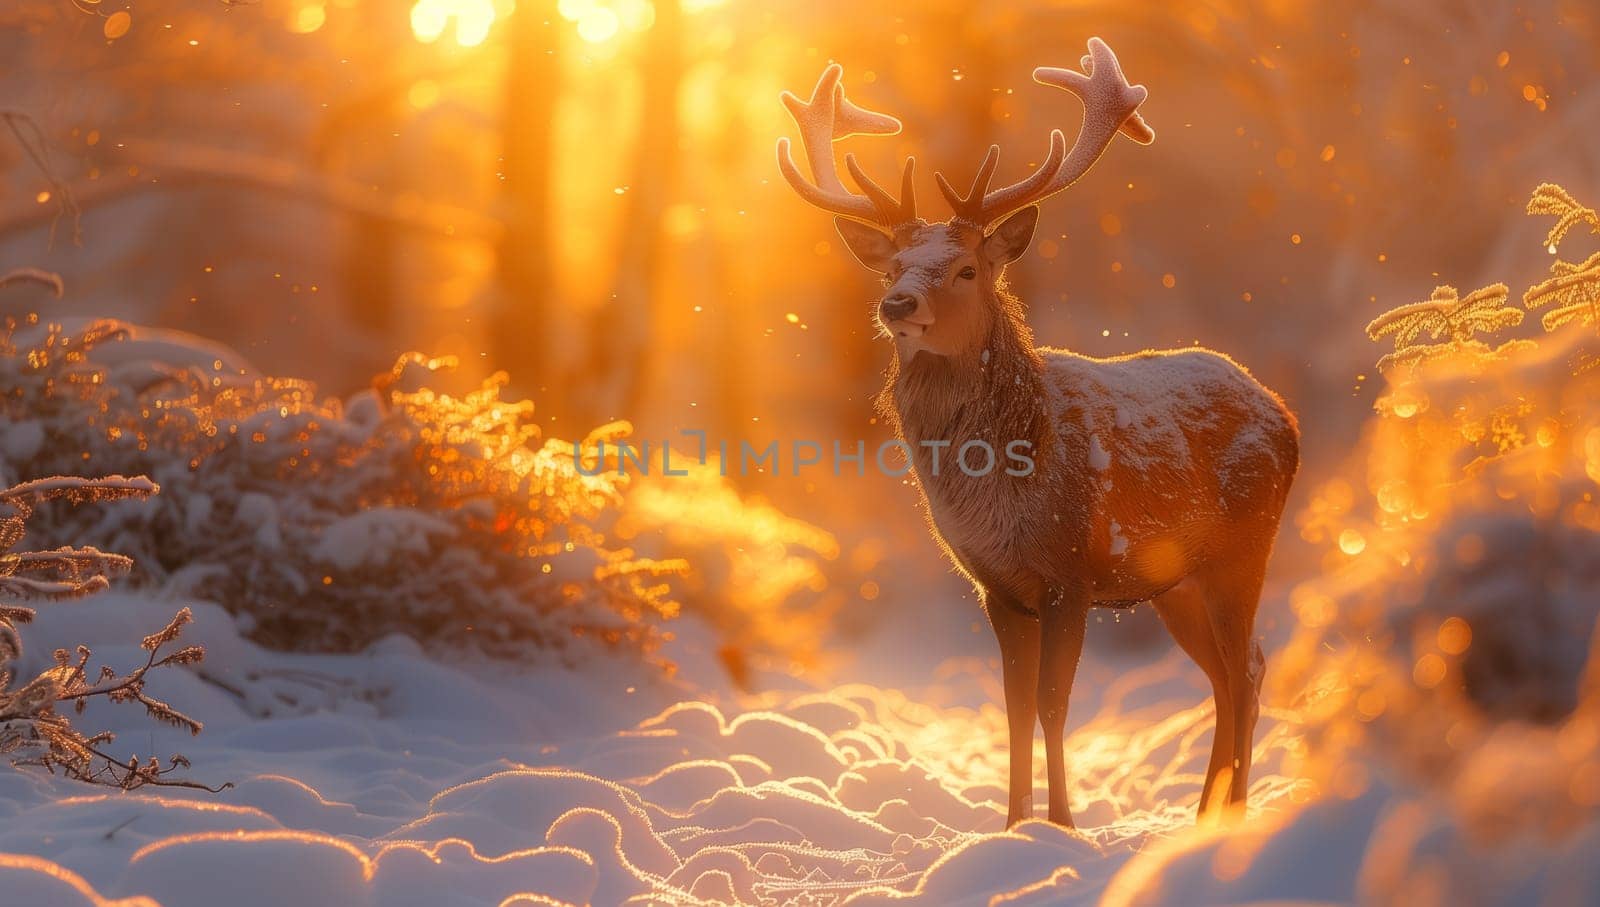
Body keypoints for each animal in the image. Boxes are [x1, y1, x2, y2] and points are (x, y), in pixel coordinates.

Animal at [774, 37, 1299, 831]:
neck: (1013, 487)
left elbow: (1054, 705)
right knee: (1234, 671)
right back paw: (1205, 813)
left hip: (1244, 549)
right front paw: (1013, 824)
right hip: (1175, 580)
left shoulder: (1071, 572)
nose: (897, 304)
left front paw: (1062, 825)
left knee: (1244, 669)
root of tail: (1287, 417)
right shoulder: (999, 586)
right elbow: (1014, 712)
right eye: (893, 267)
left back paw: (1230, 813)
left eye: (965, 268)